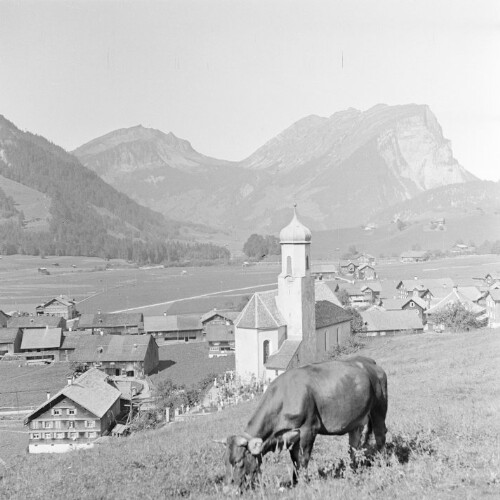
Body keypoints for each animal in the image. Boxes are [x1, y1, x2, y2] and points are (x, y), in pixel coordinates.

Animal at [218, 356, 386, 492]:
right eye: (224, 461)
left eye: (238, 462)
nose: (227, 490)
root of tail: (368, 361)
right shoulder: (293, 437)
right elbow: (295, 460)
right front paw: (295, 482)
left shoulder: (309, 429)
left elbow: (304, 458)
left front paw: (304, 482)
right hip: (356, 421)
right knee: (353, 446)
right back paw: (352, 470)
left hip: (379, 408)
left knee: (380, 435)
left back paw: (382, 462)